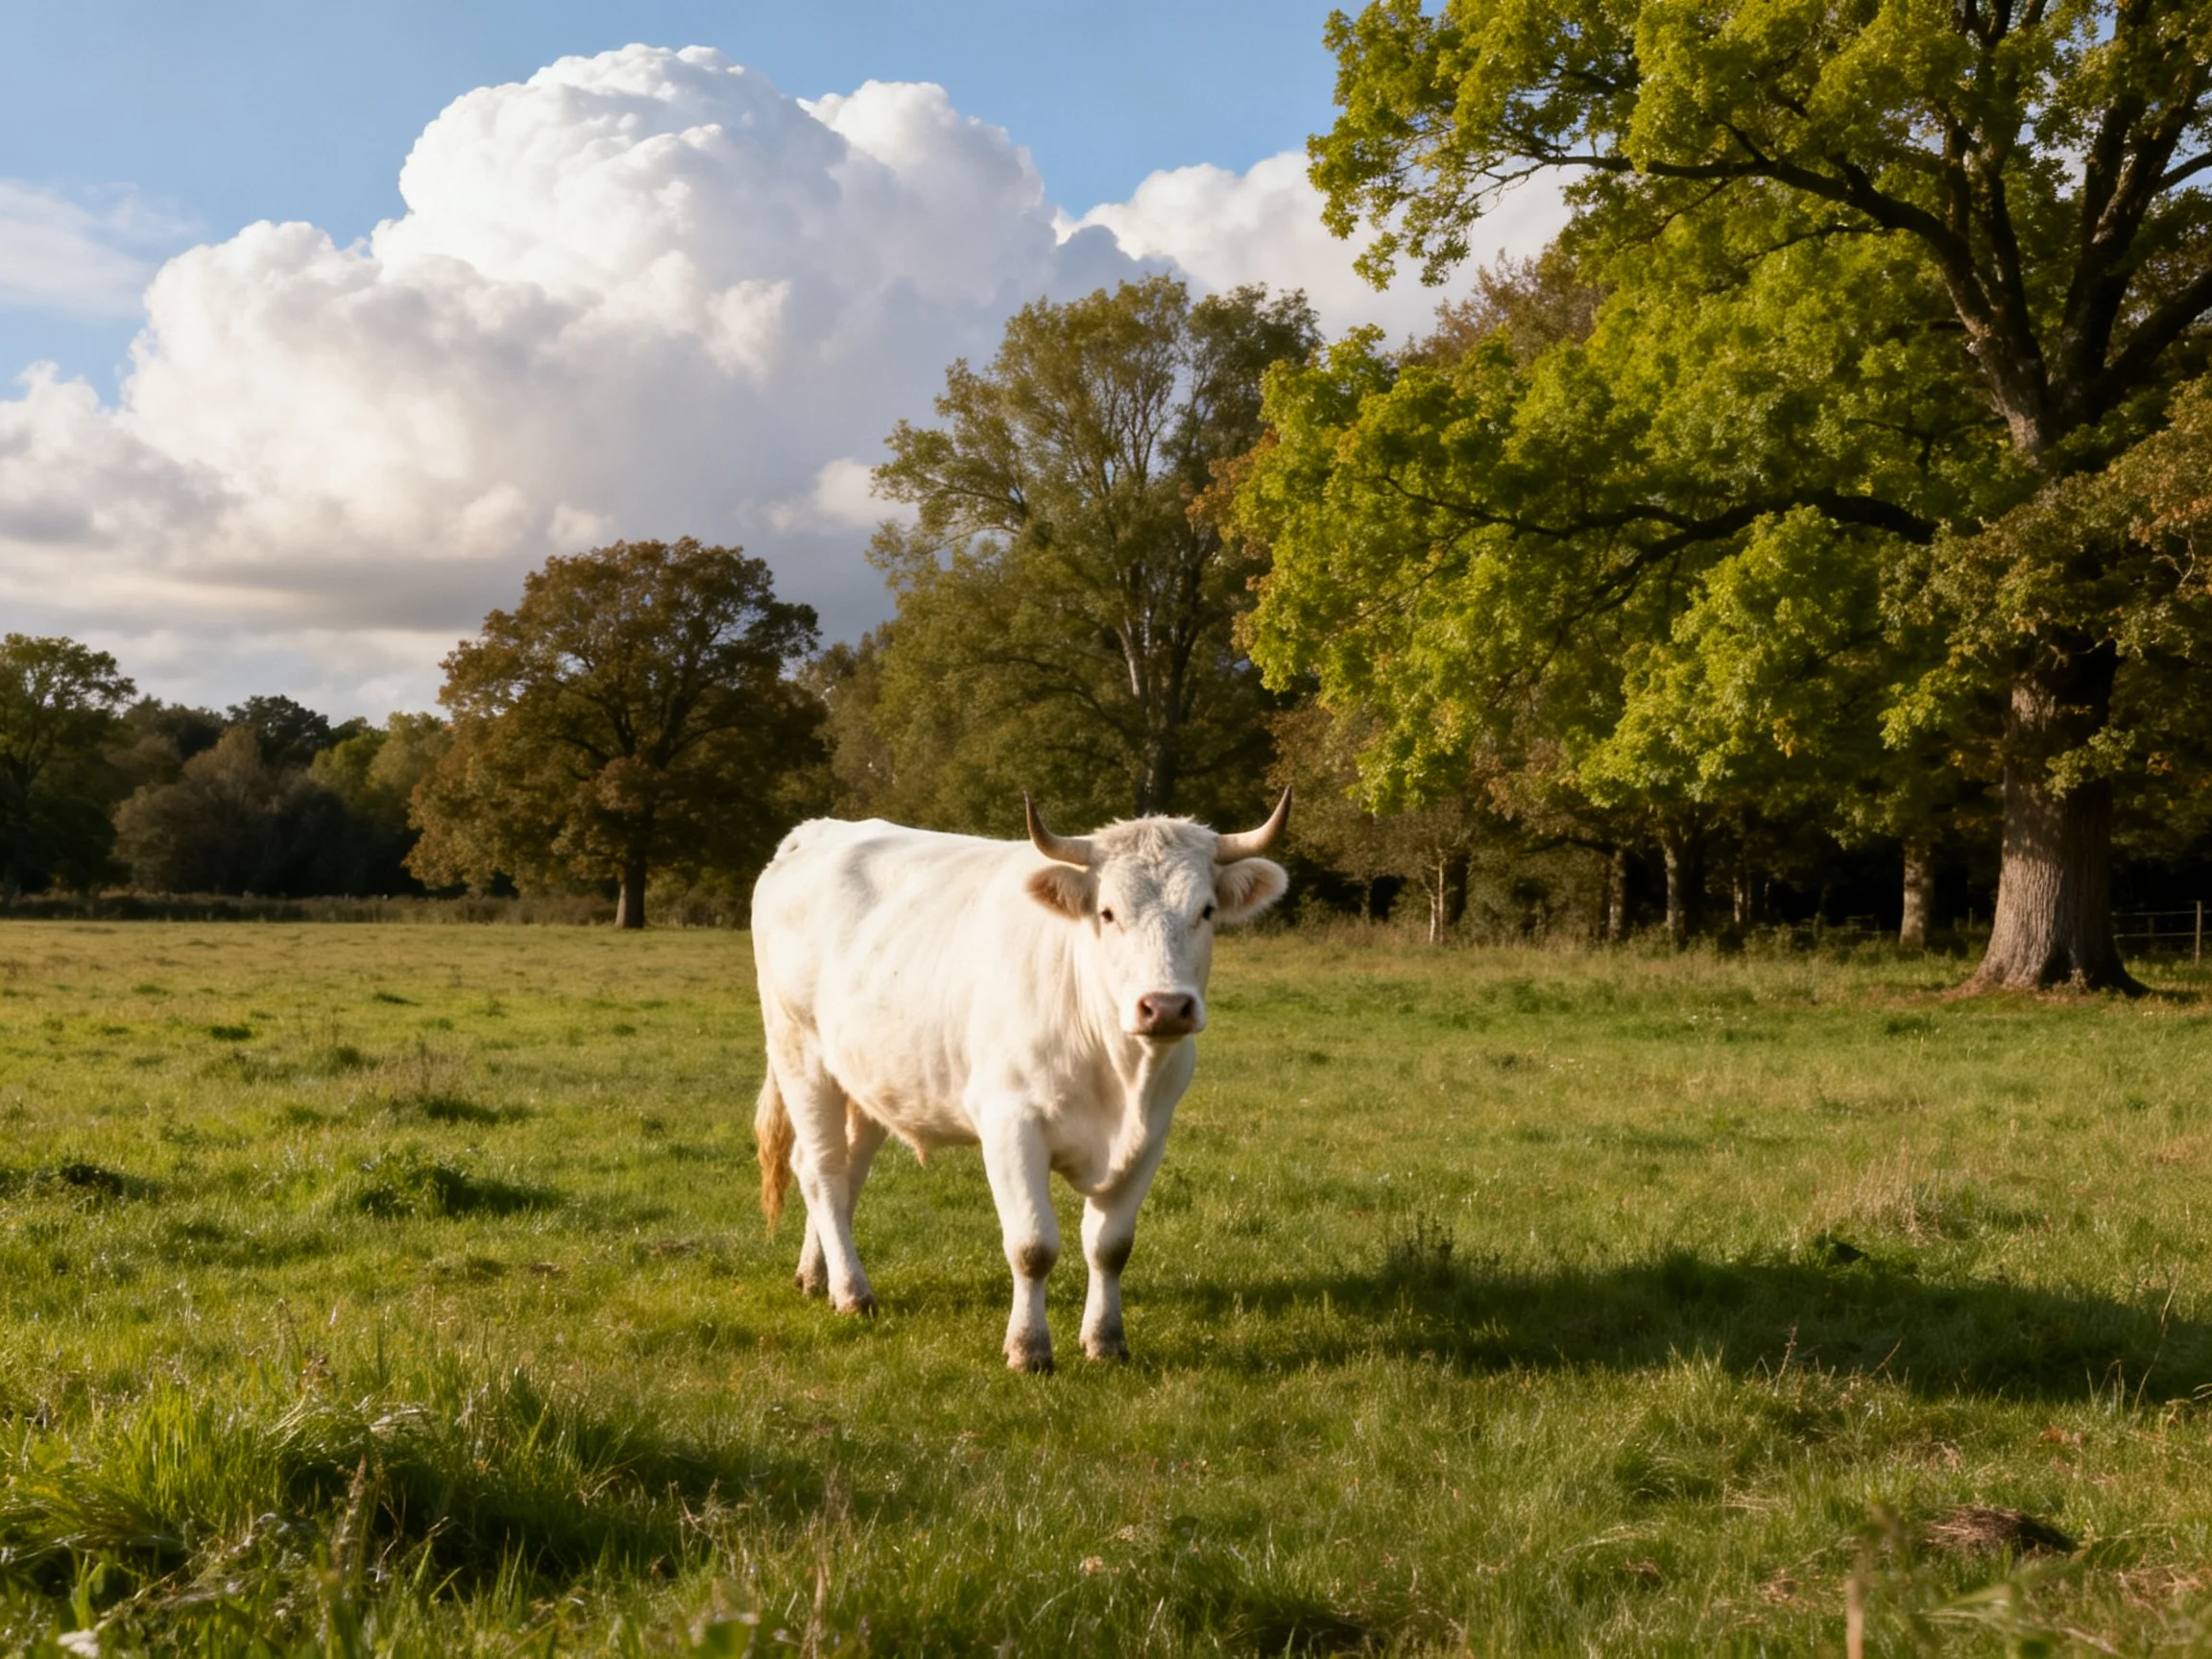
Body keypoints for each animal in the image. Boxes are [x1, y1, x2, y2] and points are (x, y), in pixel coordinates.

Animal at [750, 791, 1290, 1371]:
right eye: (1107, 912)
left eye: (1206, 911)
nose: (1165, 1006)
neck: (1121, 1075)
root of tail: (820, 830)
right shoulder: (1010, 1124)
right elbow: (1033, 1246)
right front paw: (1029, 1348)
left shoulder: (1151, 1134)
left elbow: (1111, 1246)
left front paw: (1105, 1340)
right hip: (800, 1054)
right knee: (823, 1171)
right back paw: (852, 1291)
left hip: (870, 1080)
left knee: (841, 1171)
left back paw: (817, 1276)